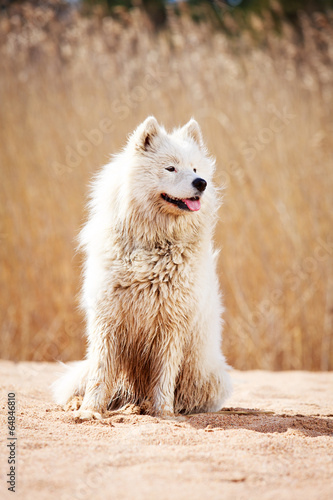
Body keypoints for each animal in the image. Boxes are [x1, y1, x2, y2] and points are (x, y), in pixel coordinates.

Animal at [53, 116, 231, 418]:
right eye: (171, 167)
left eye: (195, 168)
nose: (202, 183)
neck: (153, 243)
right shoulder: (107, 319)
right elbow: (101, 374)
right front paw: (89, 411)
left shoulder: (172, 323)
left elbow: (164, 376)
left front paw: (163, 412)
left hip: (207, 375)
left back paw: (143, 406)